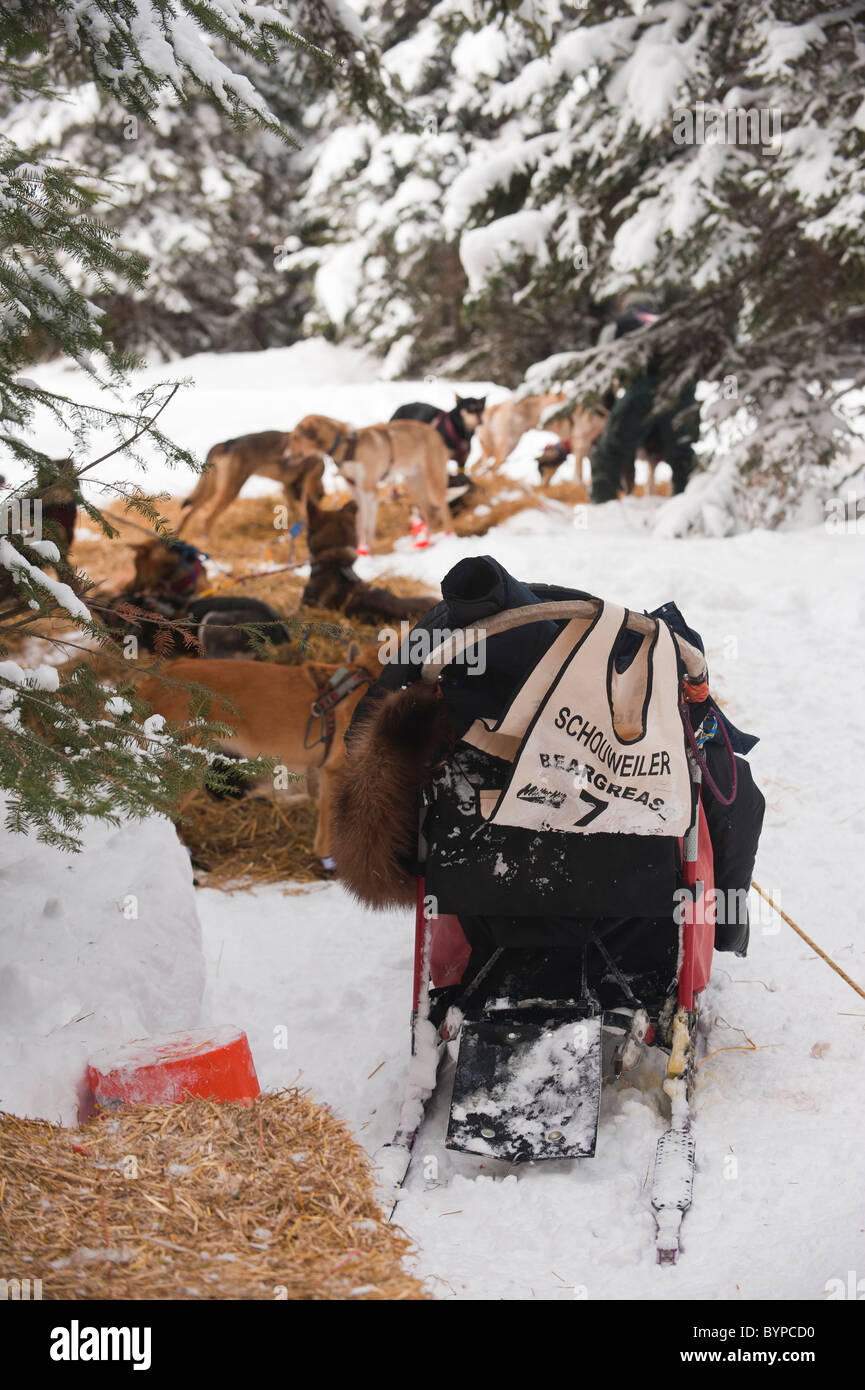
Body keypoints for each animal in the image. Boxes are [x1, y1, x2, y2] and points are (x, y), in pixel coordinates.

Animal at [176, 433, 325, 536]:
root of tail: (226, 443)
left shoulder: (287, 488)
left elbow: (297, 515)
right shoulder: (301, 487)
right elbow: (302, 513)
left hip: (211, 491)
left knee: (187, 513)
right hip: (231, 491)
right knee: (207, 518)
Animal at [285, 411, 450, 553]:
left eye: (295, 437)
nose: (285, 458)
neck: (347, 447)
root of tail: (434, 432)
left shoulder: (368, 489)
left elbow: (365, 523)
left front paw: (363, 549)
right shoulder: (355, 491)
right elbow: (360, 522)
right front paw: (362, 549)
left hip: (434, 480)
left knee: (443, 509)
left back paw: (448, 538)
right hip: (412, 483)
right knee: (429, 511)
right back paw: (426, 541)